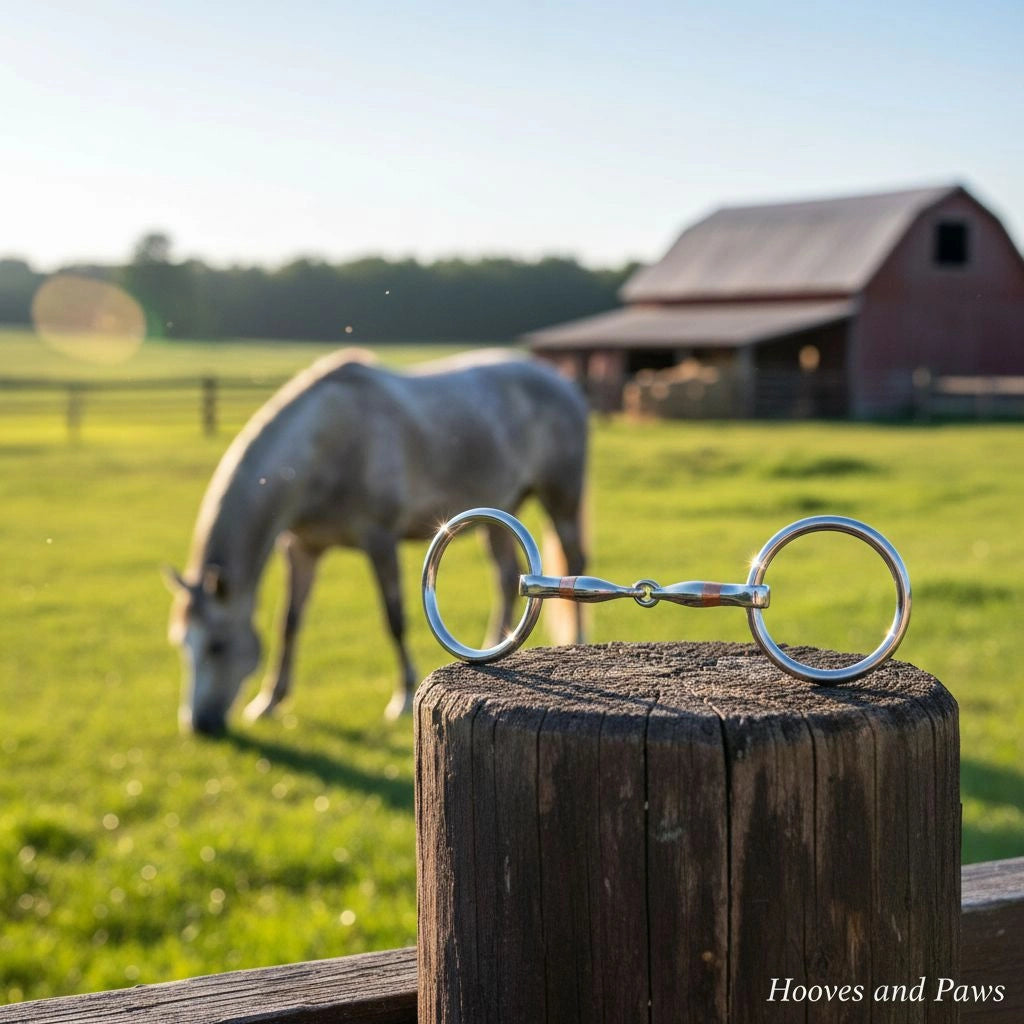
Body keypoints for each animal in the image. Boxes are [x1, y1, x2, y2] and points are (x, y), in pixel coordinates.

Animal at [166, 348, 588, 735]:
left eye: (217, 645)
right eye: (182, 643)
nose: (198, 725)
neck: (326, 439)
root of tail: (562, 381)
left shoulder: (380, 540)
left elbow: (394, 618)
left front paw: (400, 699)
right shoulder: (301, 549)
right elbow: (289, 623)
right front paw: (269, 701)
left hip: (561, 499)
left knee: (574, 563)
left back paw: (578, 640)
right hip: (500, 512)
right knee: (504, 577)